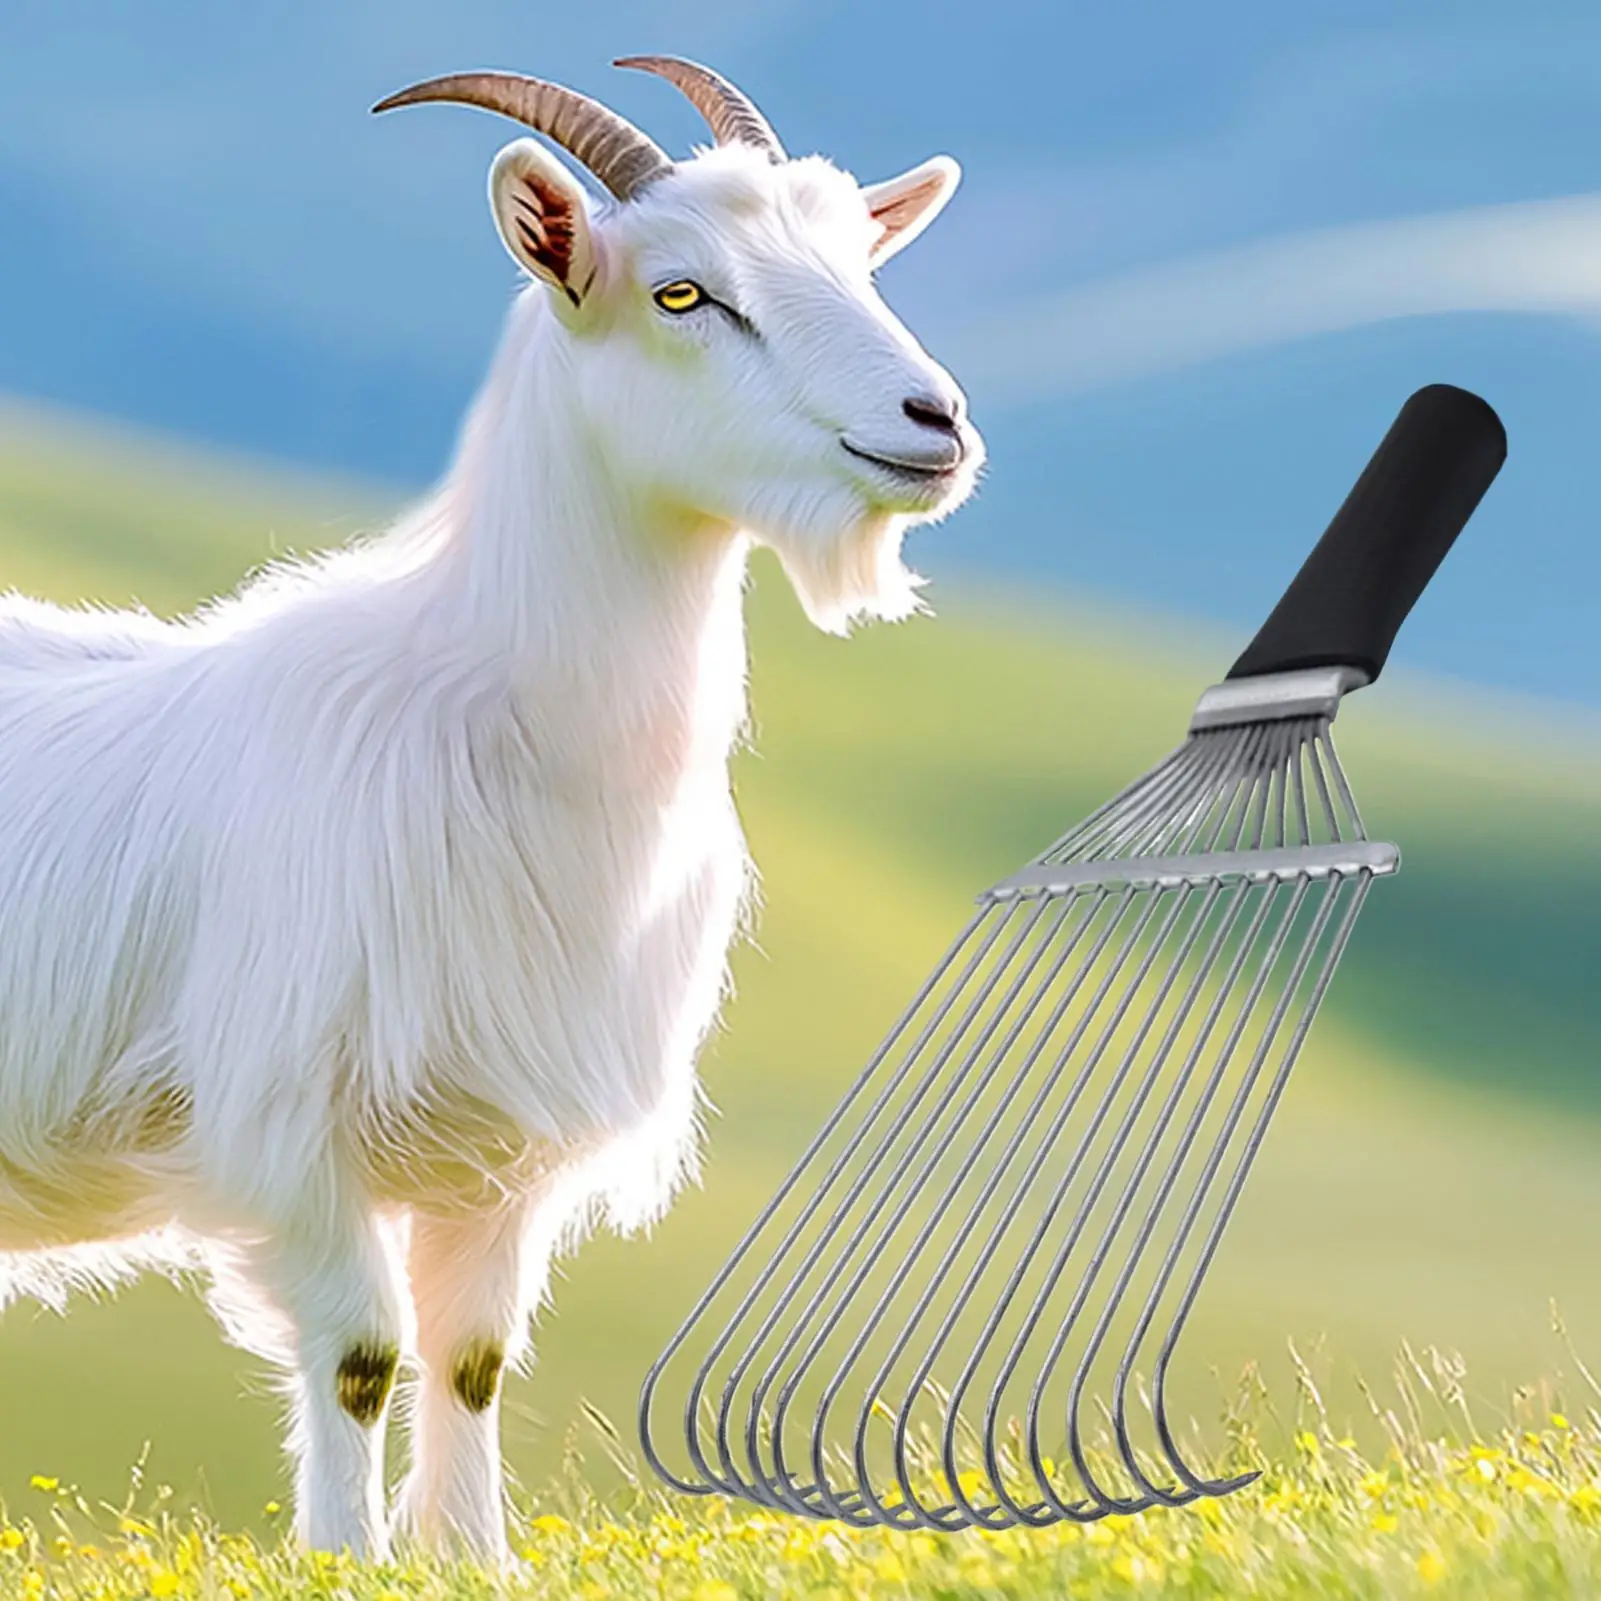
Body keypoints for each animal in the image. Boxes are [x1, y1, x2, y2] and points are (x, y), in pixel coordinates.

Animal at [0, 56, 983, 1560]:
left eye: (855, 260)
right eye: (681, 293)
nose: (935, 424)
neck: (491, 716)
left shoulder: (499, 1145)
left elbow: (470, 1358)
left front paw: (469, 1553)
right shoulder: (292, 1122)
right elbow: (359, 1355)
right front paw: (343, 1556)